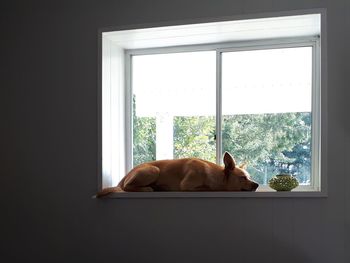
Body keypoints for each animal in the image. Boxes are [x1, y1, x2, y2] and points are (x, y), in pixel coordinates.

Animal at [97, 152, 258, 197]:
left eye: (250, 177)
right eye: (243, 178)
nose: (256, 184)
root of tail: (123, 177)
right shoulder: (187, 185)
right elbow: (208, 188)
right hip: (153, 170)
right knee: (126, 187)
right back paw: (147, 188)